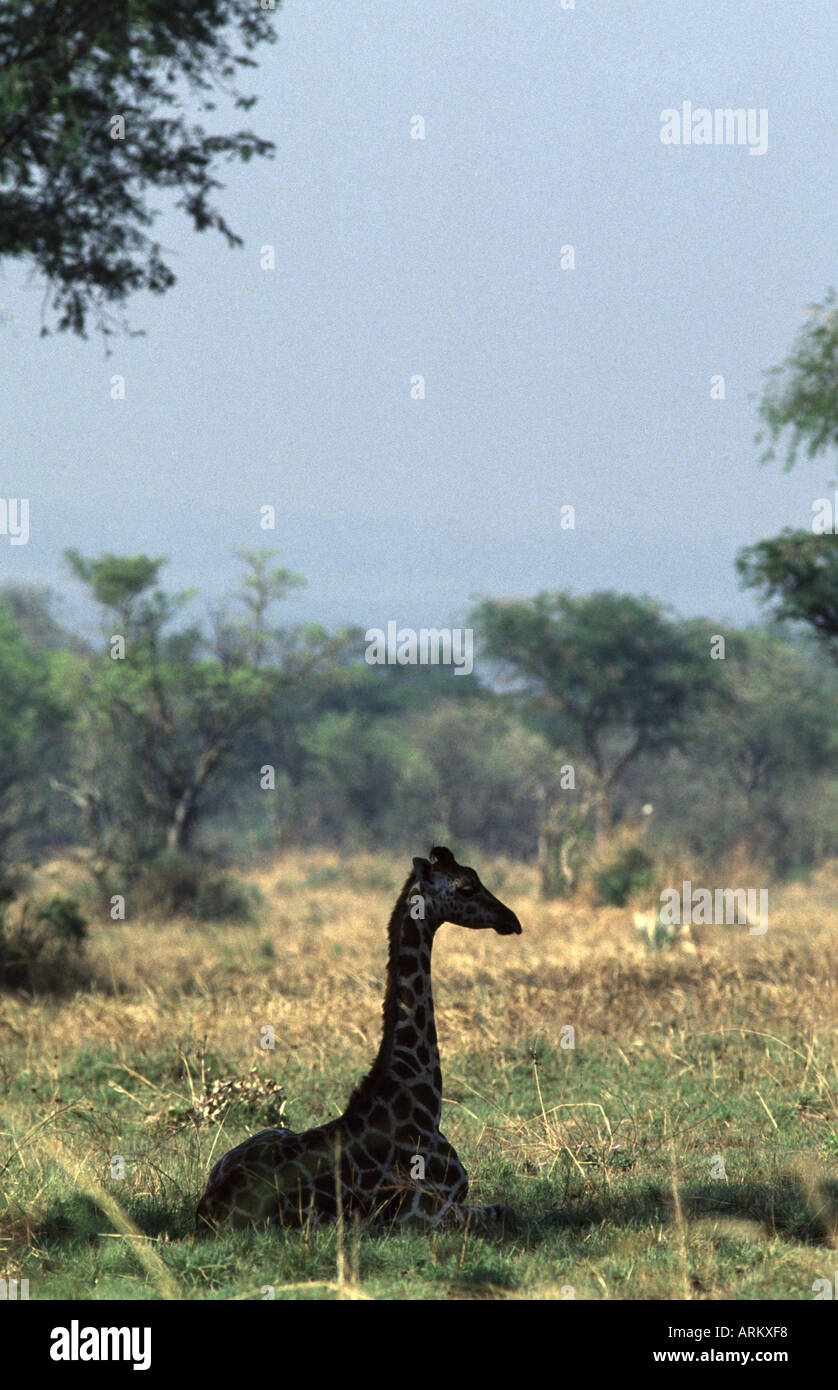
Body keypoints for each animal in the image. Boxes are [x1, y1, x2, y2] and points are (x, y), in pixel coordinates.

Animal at [197, 845, 525, 1228]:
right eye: (466, 888)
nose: (511, 919)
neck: (418, 1095)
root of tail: (208, 1209)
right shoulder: (421, 1211)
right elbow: (505, 1209)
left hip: (268, 1133)